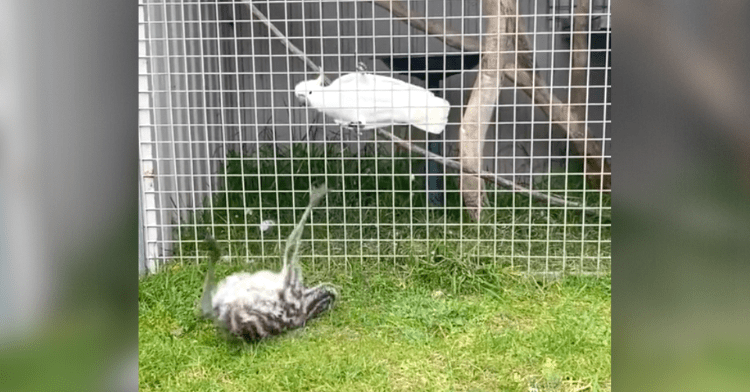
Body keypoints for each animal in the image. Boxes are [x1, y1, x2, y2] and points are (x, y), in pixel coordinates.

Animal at [201, 184, 340, 340]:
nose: (332, 291)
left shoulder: (290, 279)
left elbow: (292, 241)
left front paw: (315, 197)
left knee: (207, 304)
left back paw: (213, 249)